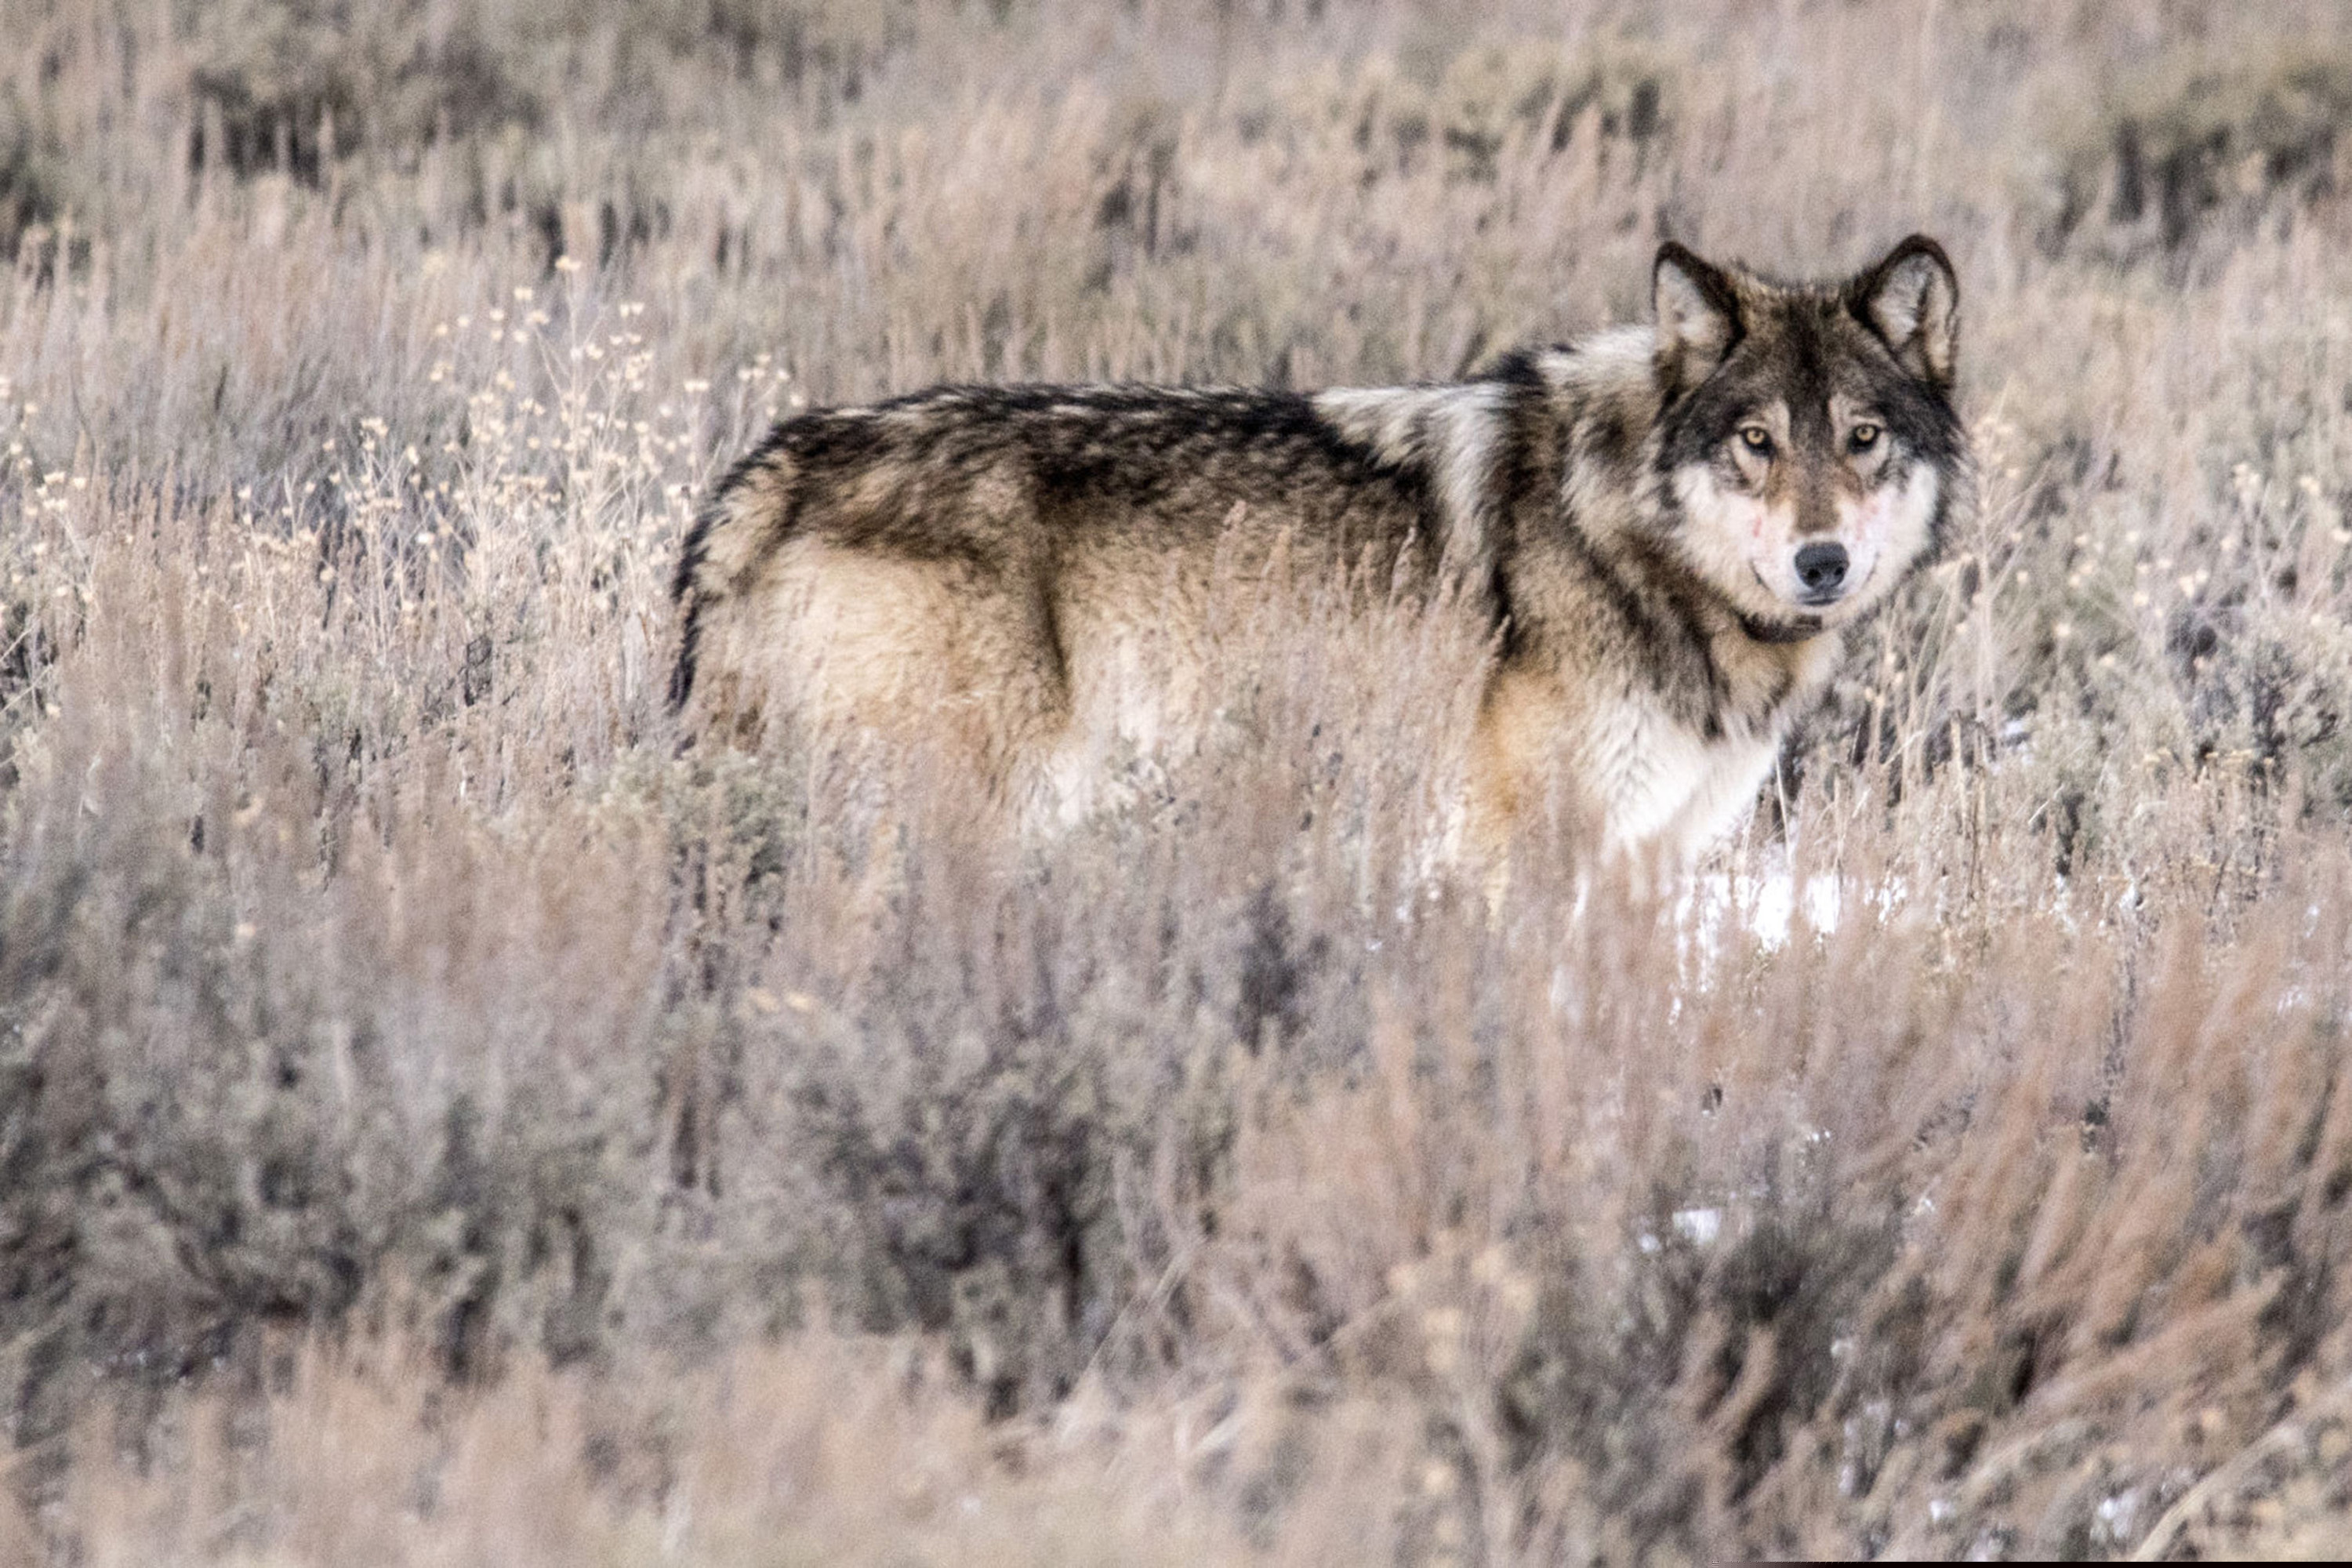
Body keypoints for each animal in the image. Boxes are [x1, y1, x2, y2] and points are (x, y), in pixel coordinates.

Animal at [670, 236, 1967, 867]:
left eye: (1862, 438)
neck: (1634, 544)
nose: (1821, 564)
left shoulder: (1654, 857)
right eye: (1757, 442)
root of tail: (782, 455)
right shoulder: (1517, 849)